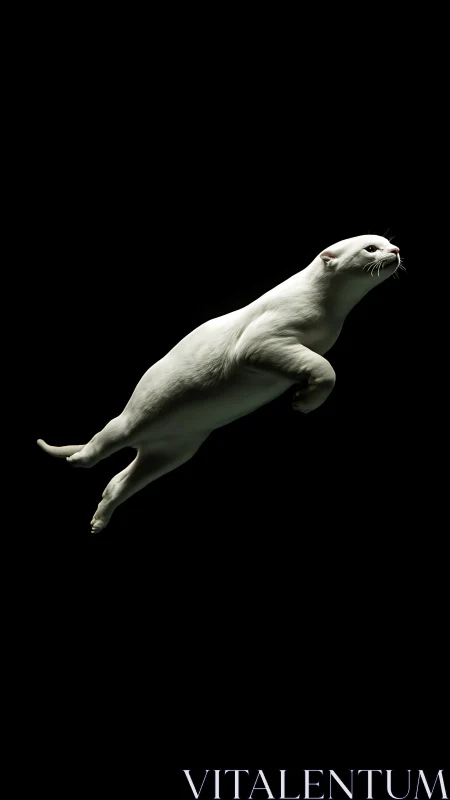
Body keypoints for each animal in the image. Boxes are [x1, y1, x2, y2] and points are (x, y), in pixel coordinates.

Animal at [37, 233, 402, 533]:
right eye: (371, 248)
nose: (396, 251)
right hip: (139, 416)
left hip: (175, 449)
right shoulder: (262, 341)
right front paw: (304, 401)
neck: (328, 301)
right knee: (105, 438)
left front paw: (303, 395)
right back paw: (78, 460)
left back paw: (98, 521)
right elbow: (325, 368)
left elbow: (318, 365)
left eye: (388, 242)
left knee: (120, 480)